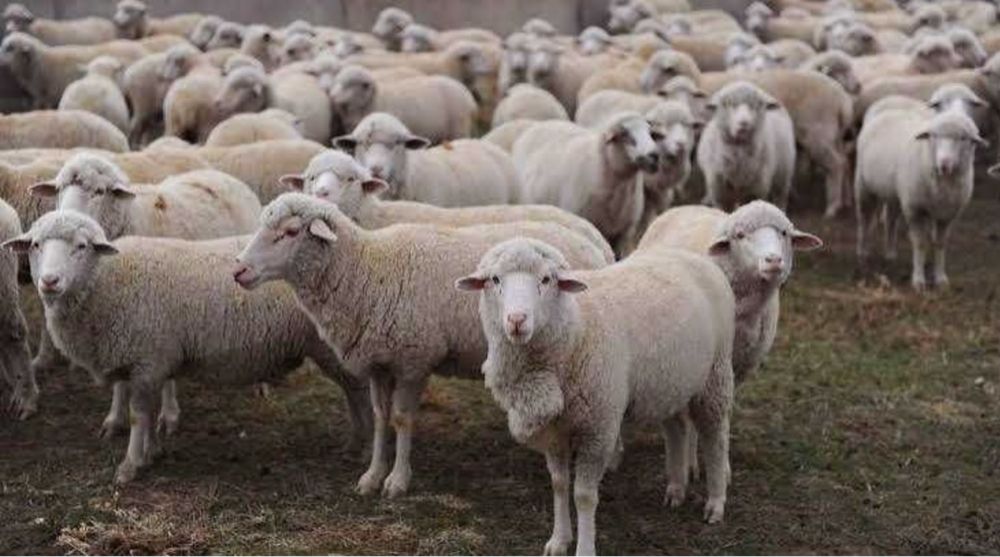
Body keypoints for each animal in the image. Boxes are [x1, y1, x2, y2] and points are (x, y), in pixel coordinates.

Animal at [4, 210, 371, 483]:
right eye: (34, 245)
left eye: (81, 246)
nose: (49, 281)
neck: (106, 279)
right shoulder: (145, 362)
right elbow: (148, 411)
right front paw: (151, 452)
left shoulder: (148, 360)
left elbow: (139, 415)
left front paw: (130, 465)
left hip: (331, 349)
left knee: (358, 392)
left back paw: (362, 445)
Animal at [233, 192, 610, 497]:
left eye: (290, 232)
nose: (239, 270)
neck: (367, 270)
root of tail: (594, 241)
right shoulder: (379, 361)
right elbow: (380, 417)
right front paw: (371, 475)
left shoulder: (414, 360)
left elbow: (402, 419)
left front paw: (397, 480)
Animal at [455, 238, 735, 554]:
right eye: (494, 279)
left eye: (546, 279)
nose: (517, 320)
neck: (577, 328)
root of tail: (693, 257)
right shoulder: (555, 431)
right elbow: (559, 484)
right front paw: (559, 540)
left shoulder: (598, 430)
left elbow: (584, 496)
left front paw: (585, 548)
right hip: (671, 382)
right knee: (677, 429)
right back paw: (676, 488)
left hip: (716, 372)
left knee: (716, 436)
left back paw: (716, 502)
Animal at [697, 82, 796, 211]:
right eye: (727, 103)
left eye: (757, 105)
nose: (744, 123)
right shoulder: (720, 195)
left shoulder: (755, 192)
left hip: (783, 176)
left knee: (780, 198)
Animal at [855, 109, 984, 291]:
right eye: (933, 136)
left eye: (963, 138)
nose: (944, 164)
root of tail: (890, 110)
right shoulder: (915, 209)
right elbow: (920, 243)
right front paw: (918, 280)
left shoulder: (947, 215)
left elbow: (940, 244)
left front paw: (940, 278)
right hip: (864, 187)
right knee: (864, 220)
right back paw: (862, 254)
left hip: (896, 193)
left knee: (891, 221)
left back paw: (890, 254)